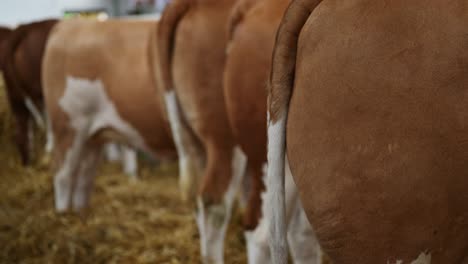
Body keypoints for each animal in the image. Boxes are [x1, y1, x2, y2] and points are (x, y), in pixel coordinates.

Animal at [43, 19, 176, 212]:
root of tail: (67, 25)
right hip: (68, 126)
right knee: (63, 176)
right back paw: (63, 214)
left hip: (92, 138)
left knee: (84, 178)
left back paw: (80, 213)